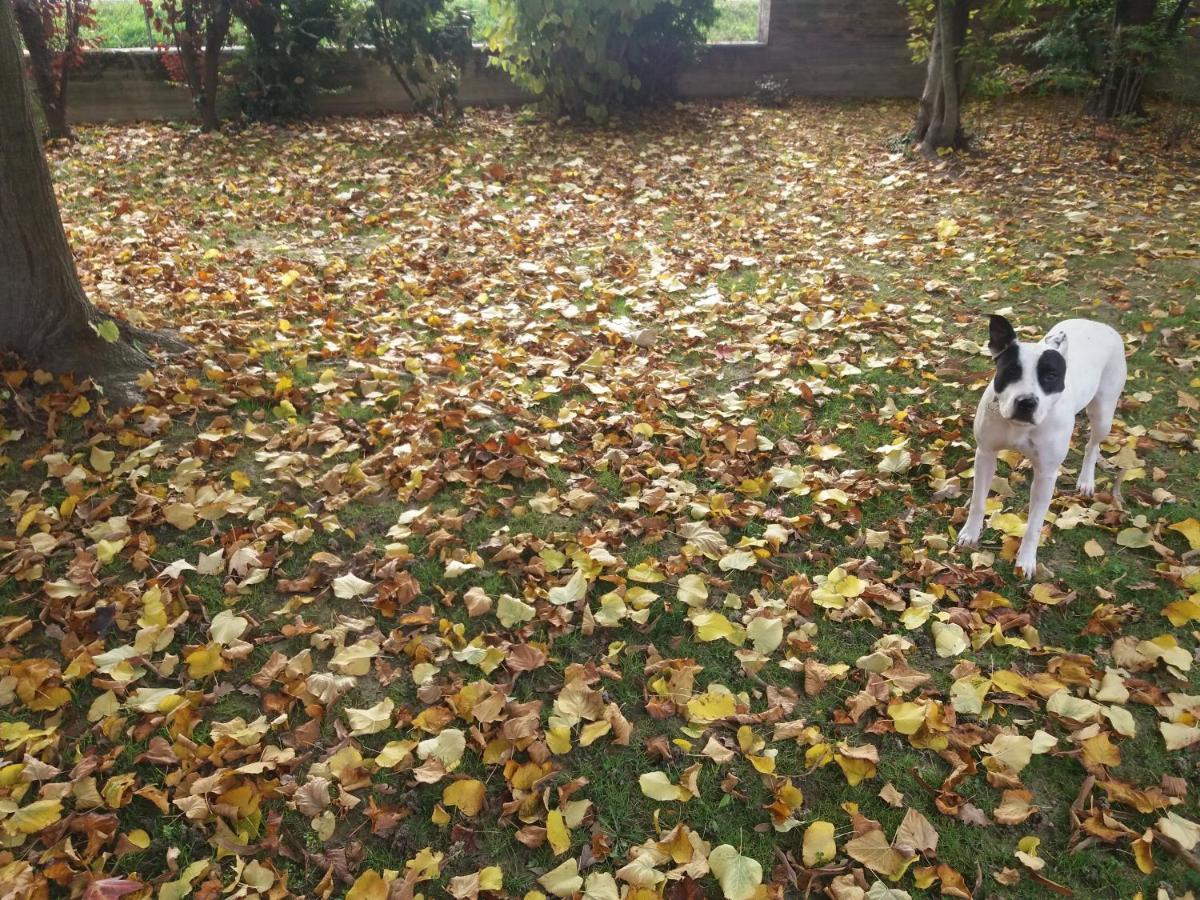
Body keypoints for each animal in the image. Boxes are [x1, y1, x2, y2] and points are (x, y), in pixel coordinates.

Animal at [955, 316, 1123, 578]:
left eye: (1051, 376)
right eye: (1011, 371)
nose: (1026, 402)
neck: (1019, 427)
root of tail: (1096, 323)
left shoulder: (1046, 475)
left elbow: (1034, 525)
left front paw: (1026, 560)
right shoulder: (985, 454)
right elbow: (978, 501)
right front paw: (970, 532)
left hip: (1103, 413)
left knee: (1092, 445)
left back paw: (1086, 480)